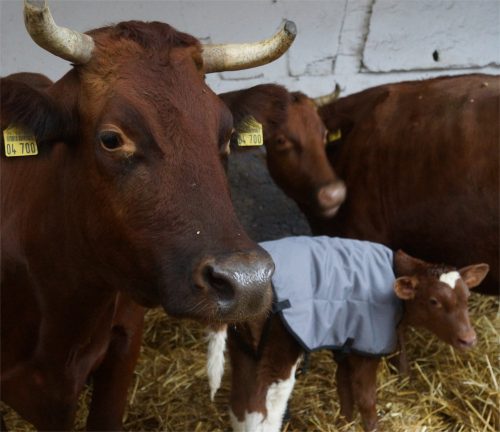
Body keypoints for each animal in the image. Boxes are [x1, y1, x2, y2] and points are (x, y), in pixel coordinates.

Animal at [207, 236, 488, 432]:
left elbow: (343, 386)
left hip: (243, 347)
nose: (469, 339)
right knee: (263, 407)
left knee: (240, 404)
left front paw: (344, 422)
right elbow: (366, 398)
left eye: (467, 297)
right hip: (277, 347)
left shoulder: (346, 342)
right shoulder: (367, 346)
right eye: (433, 301)